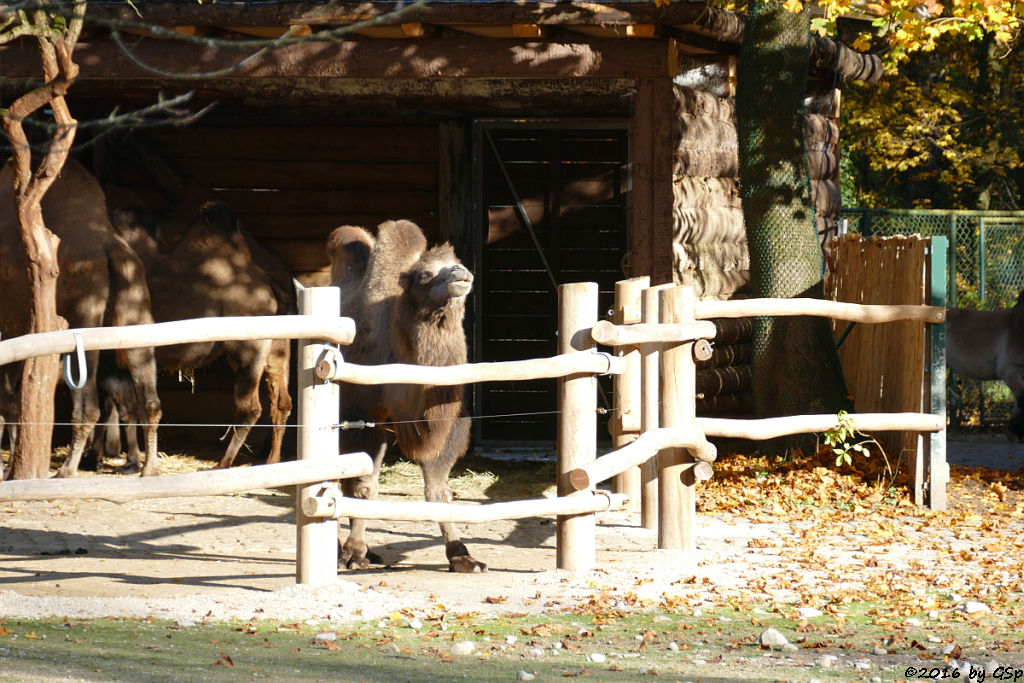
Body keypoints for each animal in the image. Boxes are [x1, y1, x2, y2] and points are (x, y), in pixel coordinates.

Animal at [0, 160, 161, 481]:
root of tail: (112, 251)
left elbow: (10, 400)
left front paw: (10, 469)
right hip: (137, 309)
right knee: (148, 399)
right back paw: (147, 470)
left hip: (81, 319)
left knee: (89, 406)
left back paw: (66, 469)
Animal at [112, 200, 296, 471]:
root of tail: (271, 282)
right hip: (278, 345)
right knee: (281, 401)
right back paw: (271, 462)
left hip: (247, 345)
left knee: (250, 407)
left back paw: (223, 464)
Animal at [327, 222, 487, 573]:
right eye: (425, 274)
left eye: (456, 262)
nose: (462, 273)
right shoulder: (362, 419)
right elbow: (365, 487)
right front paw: (355, 553)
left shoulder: (444, 424)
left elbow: (438, 491)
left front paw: (463, 556)